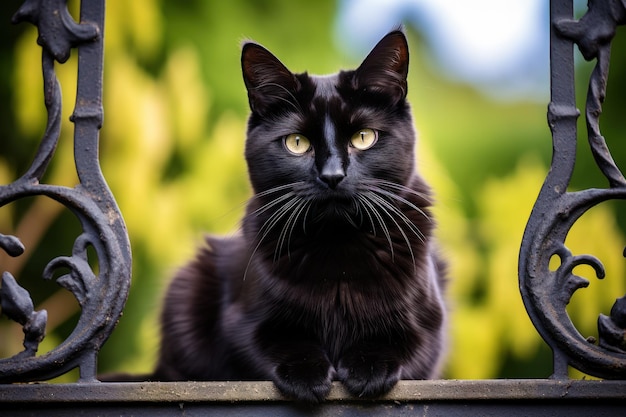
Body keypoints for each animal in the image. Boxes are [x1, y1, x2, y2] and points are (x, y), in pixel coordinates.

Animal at [152, 28, 446, 400]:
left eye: (363, 137)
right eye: (296, 143)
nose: (332, 175)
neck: (338, 251)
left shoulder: (430, 327)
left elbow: (404, 344)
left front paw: (369, 368)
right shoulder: (243, 324)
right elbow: (274, 343)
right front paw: (307, 374)